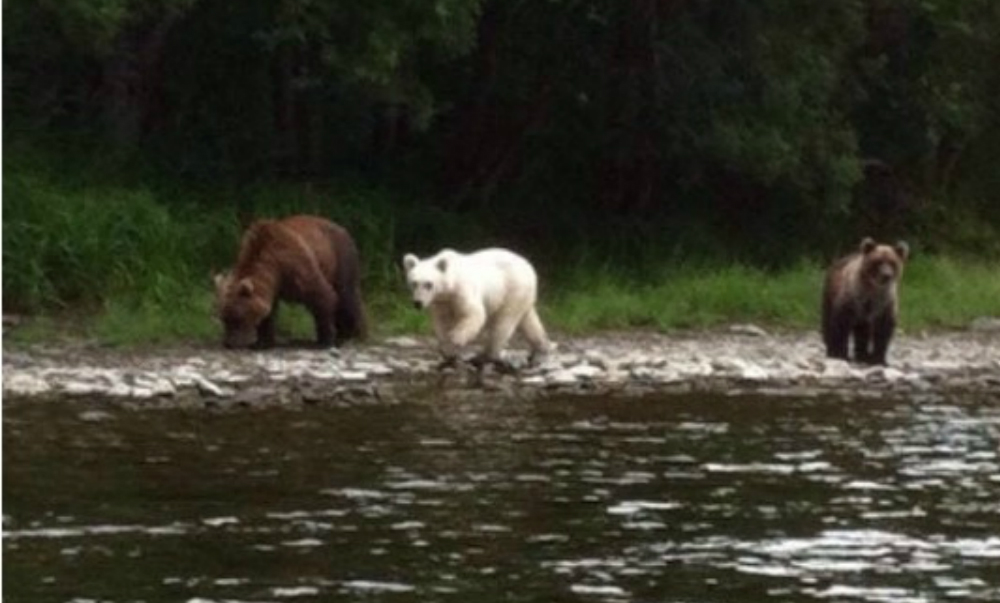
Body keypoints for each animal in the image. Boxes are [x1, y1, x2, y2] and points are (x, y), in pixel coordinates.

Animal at [214, 216, 368, 350]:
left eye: (238, 318)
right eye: (223, 318)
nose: (229, 343)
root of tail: (343, 228)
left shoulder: (294, 266)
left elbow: (321, 295)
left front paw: (326, 340)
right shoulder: (272, 286)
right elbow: (269, 311)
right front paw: (262, 342)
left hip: (340, 258)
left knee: (346, 295)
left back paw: (350, 334)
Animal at [820, 238, 908, 366]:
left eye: (892, 262)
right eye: (878, 261)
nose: (886, 275)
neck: (872, 290)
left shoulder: (885, 303)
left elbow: (883, 329)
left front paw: (879, 359)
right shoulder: (851, 298)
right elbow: (840, 324)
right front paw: (839, 354)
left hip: (862, 316)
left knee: (863, 331)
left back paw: (863, 355)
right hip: (829, 294)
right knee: (827, 321)